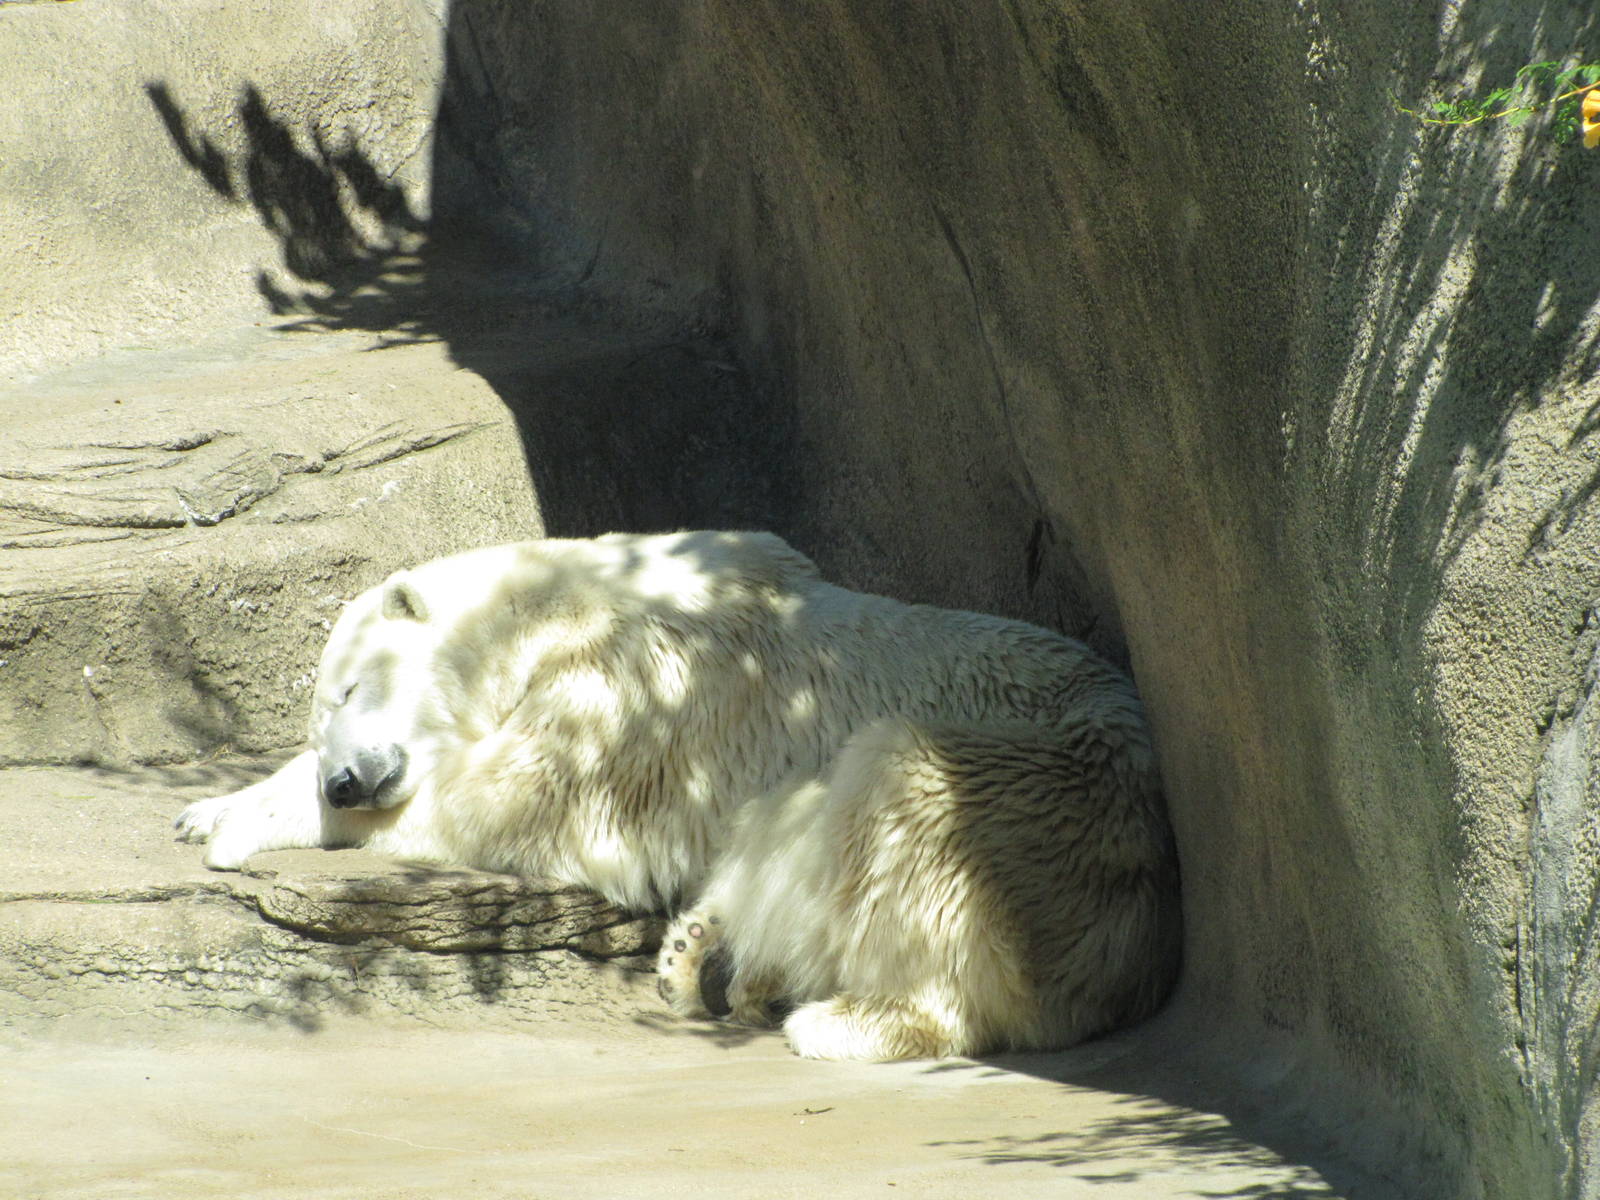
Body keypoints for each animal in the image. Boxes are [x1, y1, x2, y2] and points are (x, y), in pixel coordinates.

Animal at [176, 530, 1181, 1060]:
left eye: (350, 689)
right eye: (321, 718)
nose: (345, 777)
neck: (554, 607)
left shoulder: (634, 696)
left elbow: (515, 796)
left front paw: (241, 820)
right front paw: (206, 806)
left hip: (1041, 795)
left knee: (906, 806)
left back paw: (838, 1017)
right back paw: (705, 956)